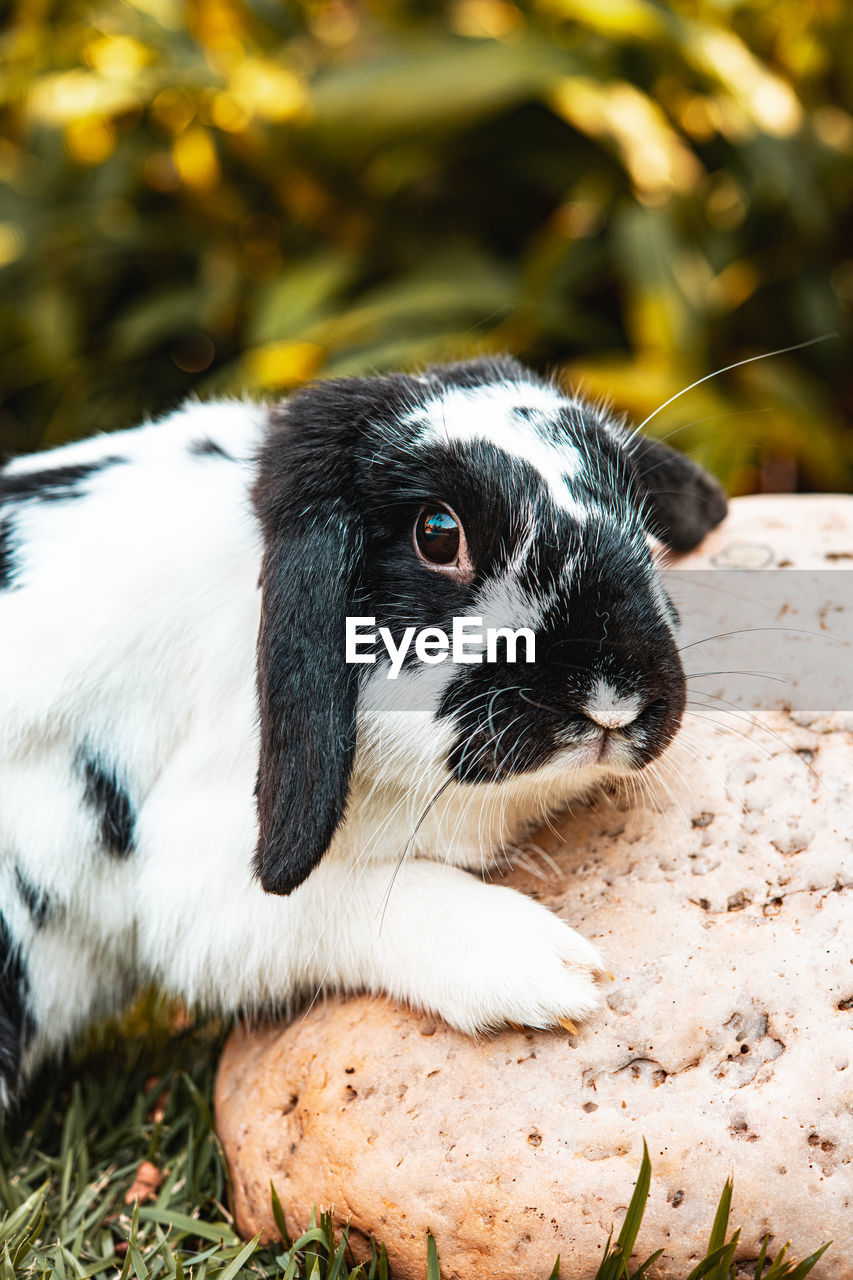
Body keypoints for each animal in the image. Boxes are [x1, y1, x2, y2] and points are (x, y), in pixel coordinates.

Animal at [0, 355, 722, 1105]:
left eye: (637, 513)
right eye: (437, 534)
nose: (615, 701)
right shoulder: (203, 893)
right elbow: (352, 899)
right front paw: (548, 969)